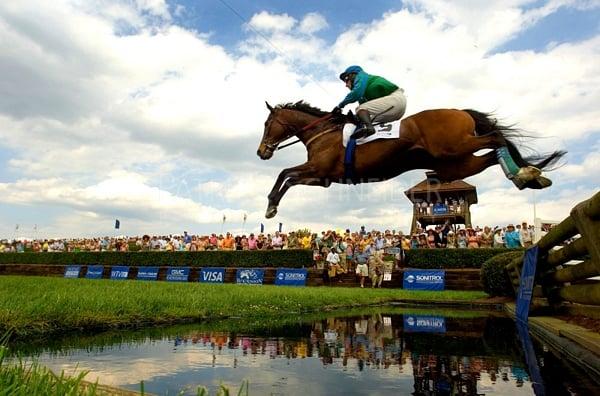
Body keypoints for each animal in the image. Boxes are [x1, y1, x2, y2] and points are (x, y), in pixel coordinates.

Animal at [255, 101, 564, 220]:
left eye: (267, 124)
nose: (261, 152)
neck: (322, 132)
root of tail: (459, 111)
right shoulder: (322, 178)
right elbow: (289, 178)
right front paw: (272, 206)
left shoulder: (319, 169)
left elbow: (284, 173)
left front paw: (270, 205)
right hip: (455, 164)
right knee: (490, 155)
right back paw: (528, 176)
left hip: (455, 148)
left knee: (497, 139)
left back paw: (525, 174)